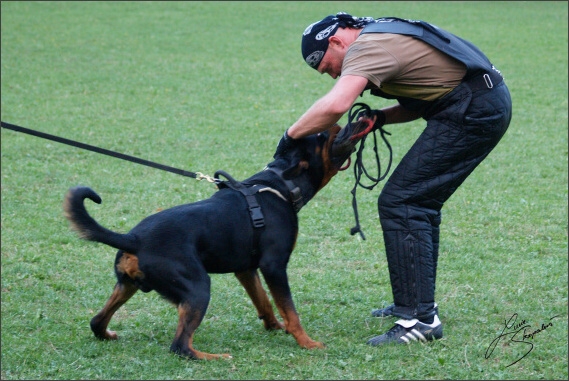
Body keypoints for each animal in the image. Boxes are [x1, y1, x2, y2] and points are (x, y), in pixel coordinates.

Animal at [63, 124, 364, 360]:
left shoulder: (246, 269)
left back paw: (108, 333)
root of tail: (132, 238)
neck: (278, 185)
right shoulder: (274, 266)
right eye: (323, 136)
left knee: (96, 322)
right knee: (180, 346)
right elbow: (290, 310)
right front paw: (306, 342)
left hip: (127, 285)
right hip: (198, 287)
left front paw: (273, 326)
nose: (341, 124)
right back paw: (216, 357)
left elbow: (264, 301)